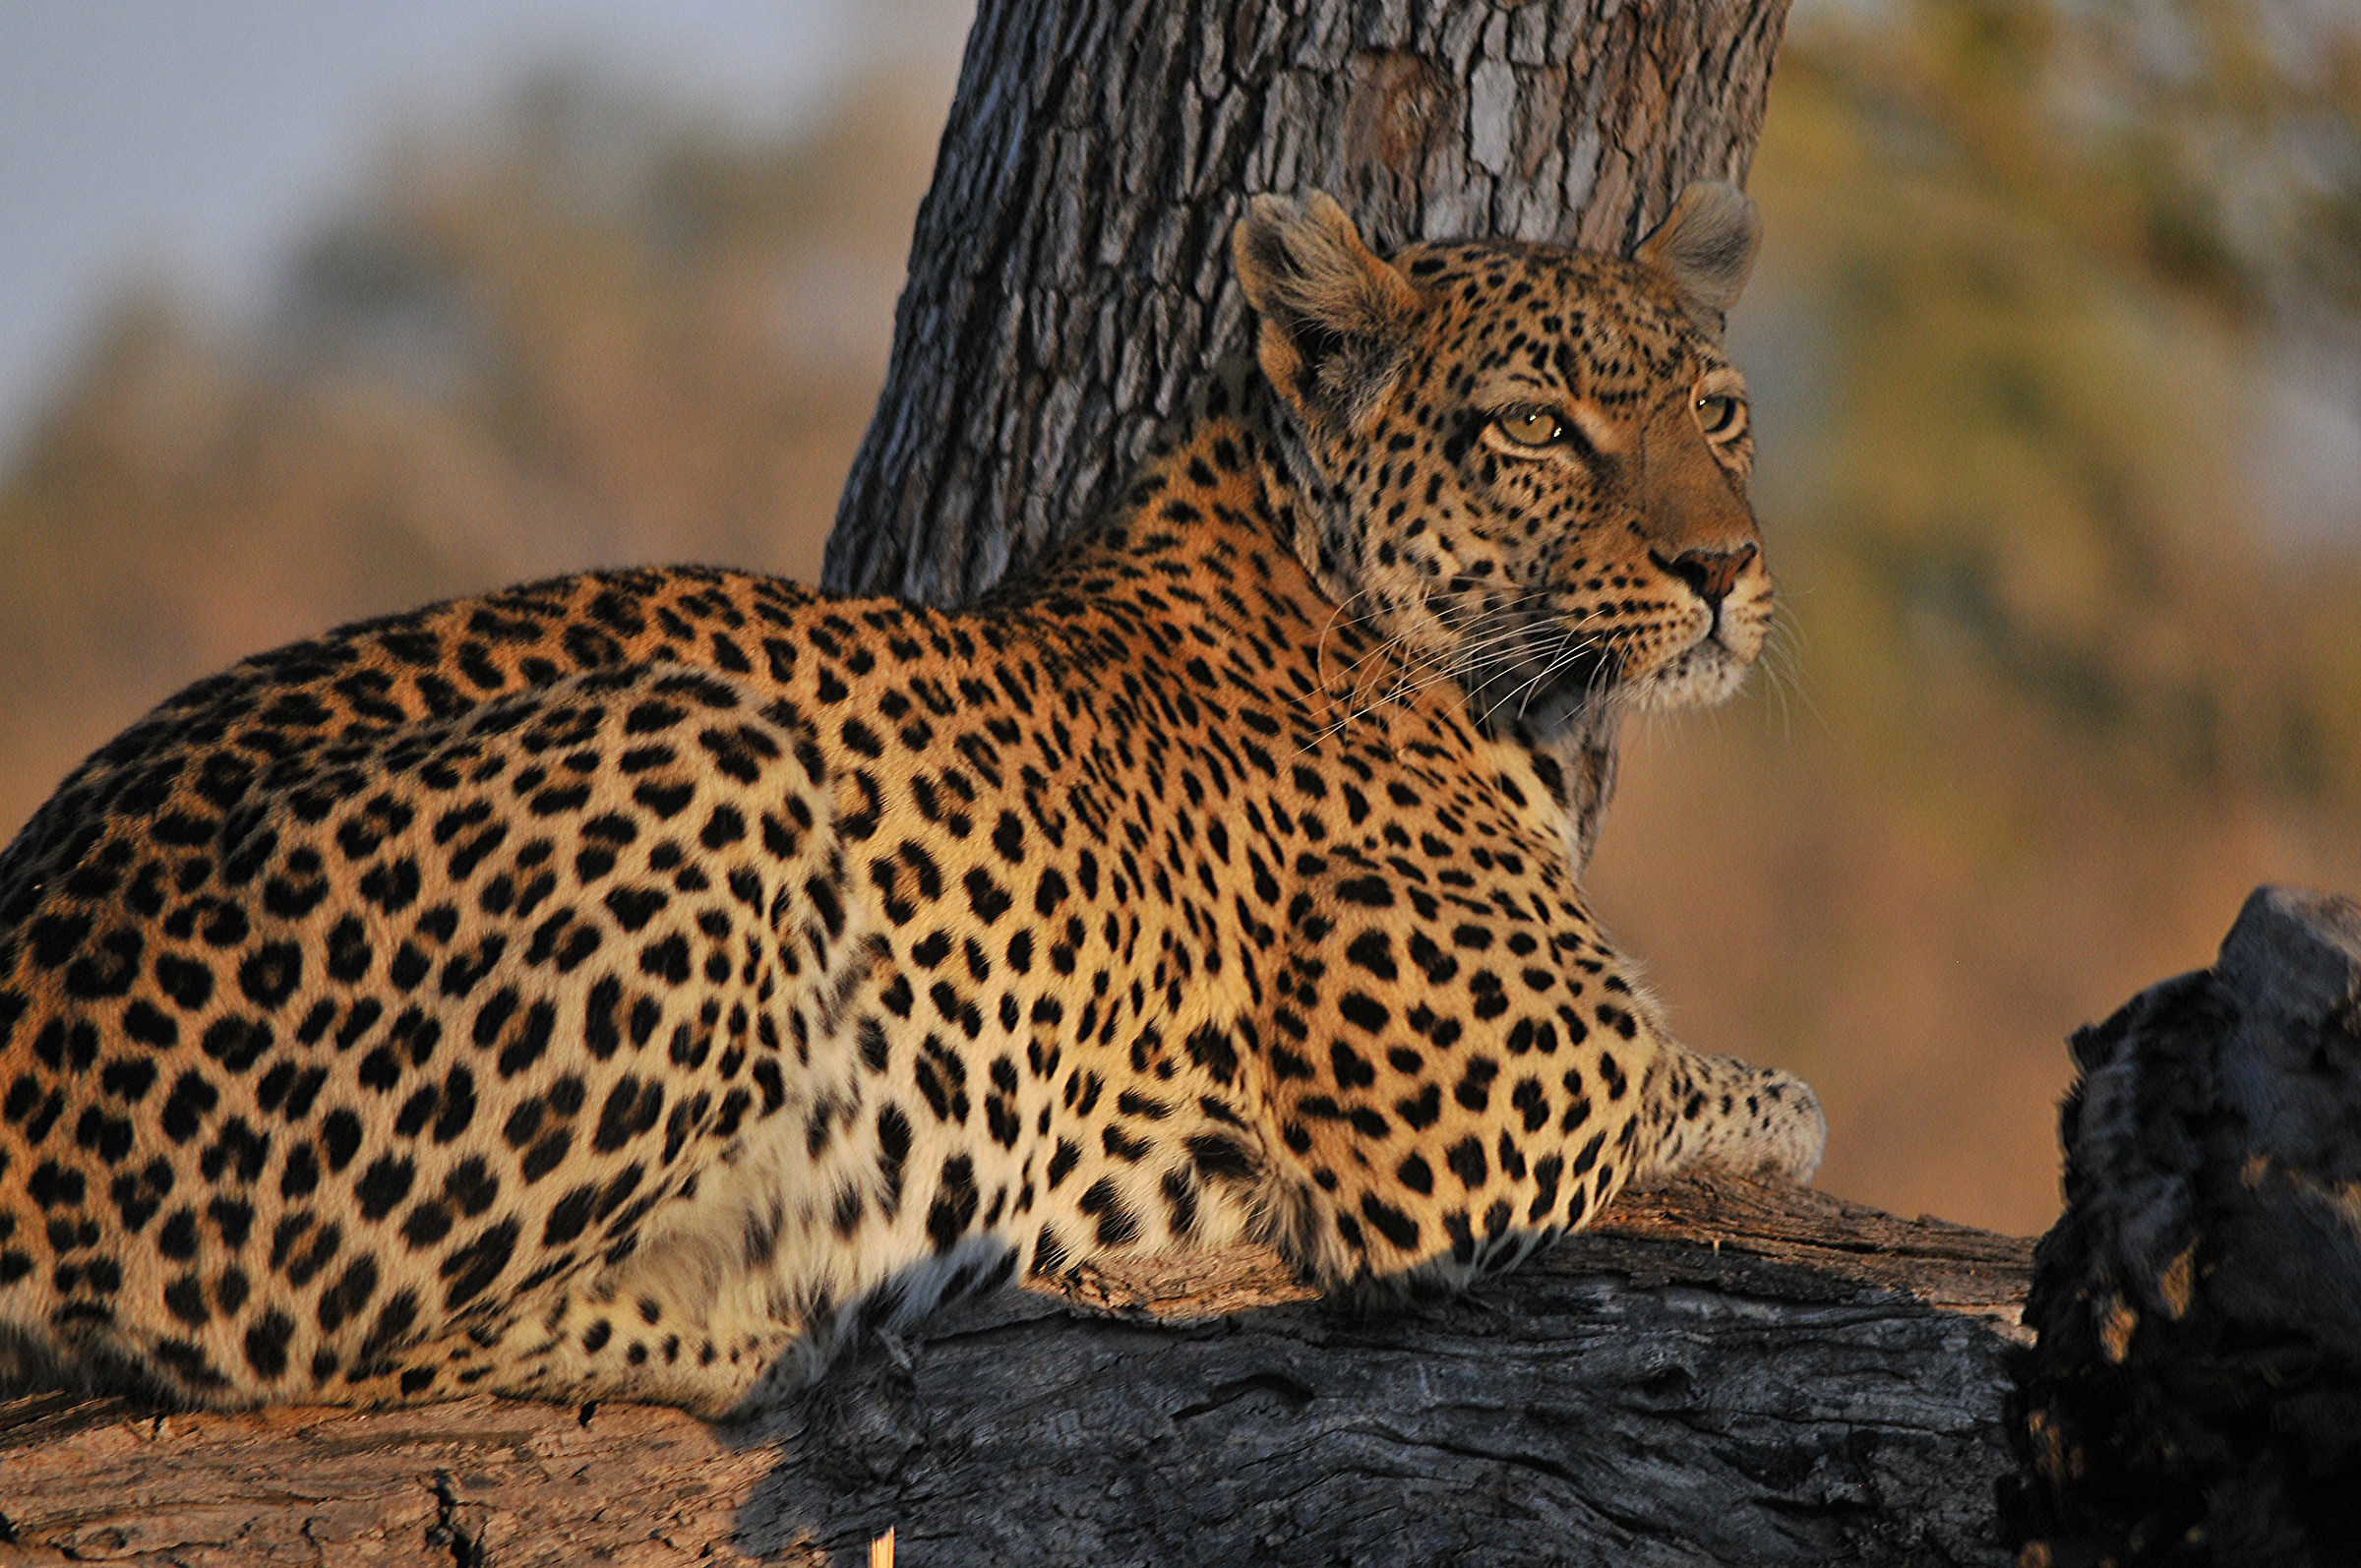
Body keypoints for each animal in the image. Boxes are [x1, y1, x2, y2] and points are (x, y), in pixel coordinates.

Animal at [0, 181, 1824, 1418]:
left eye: (1718, 410)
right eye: (1538, 429)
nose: (1725, 566)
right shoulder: (1479, 1114)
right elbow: (1695, 1072)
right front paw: (1783, 1103)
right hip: (715, 757)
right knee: (334, 1345)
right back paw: (764, 1318)